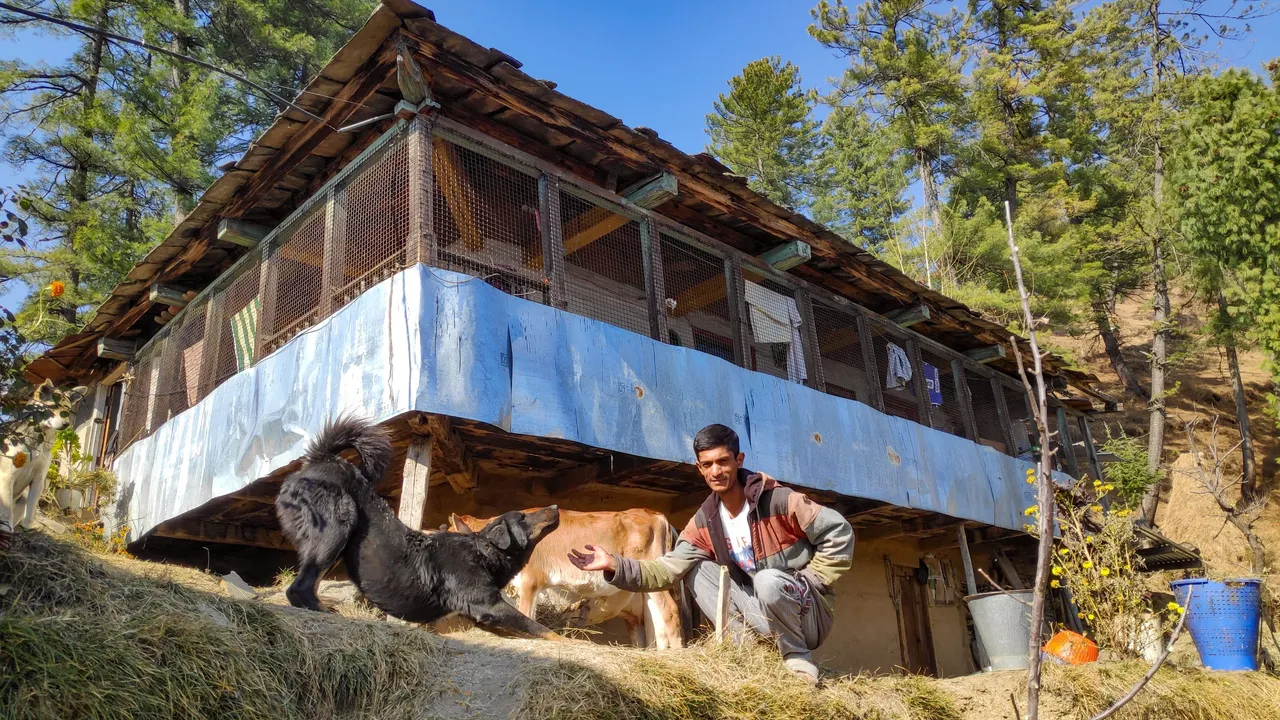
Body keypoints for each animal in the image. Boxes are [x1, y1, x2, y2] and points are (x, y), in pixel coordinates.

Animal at [275, 415, 560, 638]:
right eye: (523, 516)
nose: (557, 506)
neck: (482, 553)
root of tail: (322, 460)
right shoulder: (487, 605)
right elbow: (541, 629)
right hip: (337, 528)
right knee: (299, 587)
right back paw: (327, 614)